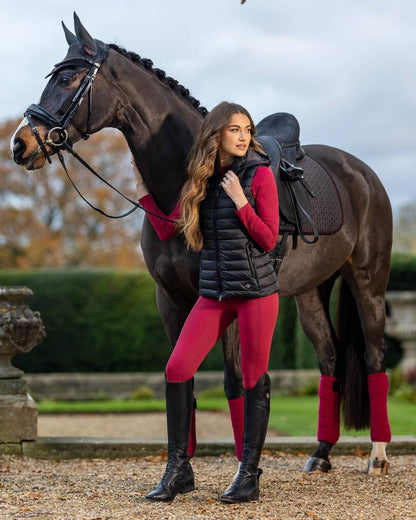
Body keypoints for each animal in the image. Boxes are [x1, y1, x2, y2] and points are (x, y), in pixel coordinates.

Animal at [10, 13, 394, 476]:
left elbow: (233, 382)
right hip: (310, 294)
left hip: (368, 282)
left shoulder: (225, 300)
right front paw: (181, 470)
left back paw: (377, 455)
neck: (184, 192)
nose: (20, 144)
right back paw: (320, 452)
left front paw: (241, 468)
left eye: (68, 77)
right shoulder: (170, 299)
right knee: (330, 357)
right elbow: (181, 375)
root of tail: (362, 172)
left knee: (373, 357)